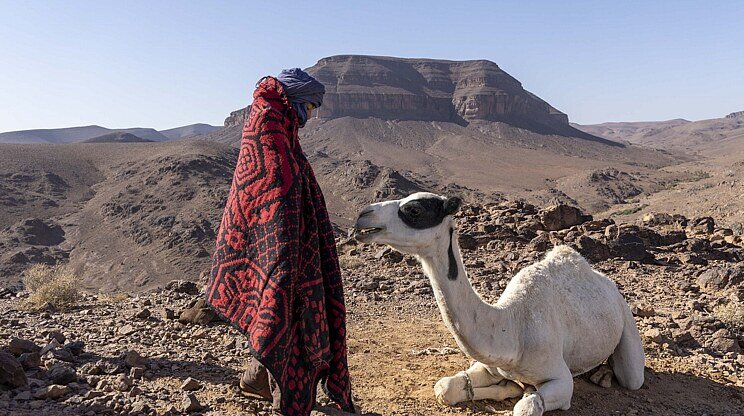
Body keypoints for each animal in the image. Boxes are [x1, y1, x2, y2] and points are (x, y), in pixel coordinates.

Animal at [352, 193, 644, 416]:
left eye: (414, 209)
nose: (363, 215)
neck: (512, 330)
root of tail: (609, 284)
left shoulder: (560, 378)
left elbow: (527, 406)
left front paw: (520, 391)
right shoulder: (489, 364)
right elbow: (445, 388)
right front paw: (509, 387)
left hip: (626, 322)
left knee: (631, 376)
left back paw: (603, 375)